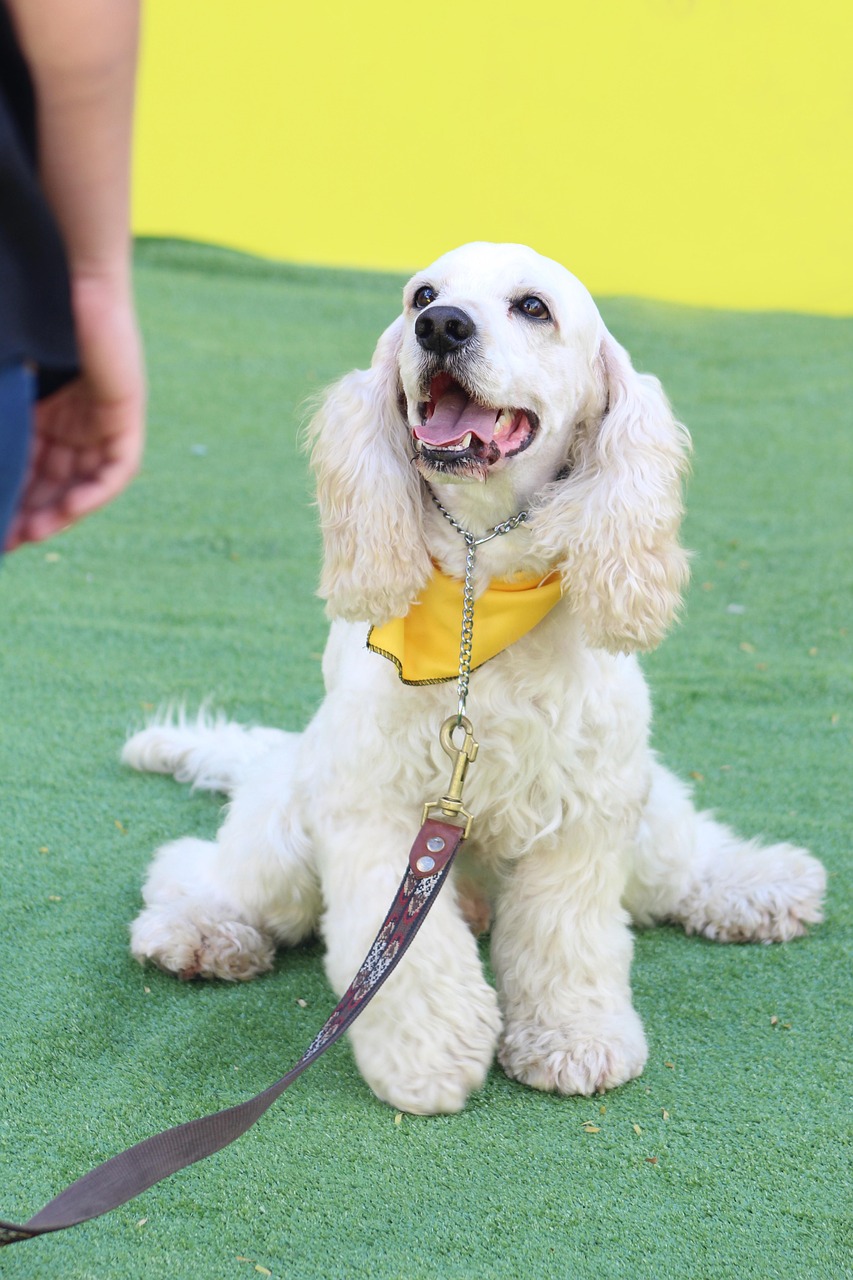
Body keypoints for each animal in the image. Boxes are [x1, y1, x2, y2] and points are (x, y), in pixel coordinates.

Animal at [126, 240, 824, 1111]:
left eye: (533, 308)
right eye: (421, 295)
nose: (441, 327)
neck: (477, 589)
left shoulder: (586, 805)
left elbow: (569, 939)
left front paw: (573, 1039)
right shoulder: (379, 810)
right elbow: (406, 959)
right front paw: (428, 1058)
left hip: (649, 810)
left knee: (683, 863)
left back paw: (760, 886)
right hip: (285, 832)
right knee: (196, 868)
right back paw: (198, 931)